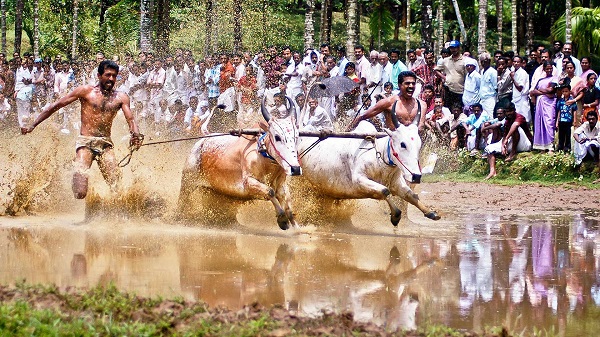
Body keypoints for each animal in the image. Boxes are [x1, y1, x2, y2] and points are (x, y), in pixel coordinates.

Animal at [177, 96, 300, 230]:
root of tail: (204, 139)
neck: (263, 156)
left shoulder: (281, 184)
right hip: (187, 182)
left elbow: (287, 206)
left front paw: (296, 228)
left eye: (296, 137)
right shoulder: (248, 182)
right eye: (277, 137)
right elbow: (270, 192)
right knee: (181, 202)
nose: (295, 168)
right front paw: (282, 219)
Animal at [298, 115, 440, 226]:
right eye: (402, 144)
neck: (379, 156)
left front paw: (431, 212)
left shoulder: (396, 183)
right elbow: (384, 191)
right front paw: (395, 216)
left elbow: (411, 195)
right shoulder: (359, 181)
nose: (416, 176)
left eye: (419, 145)